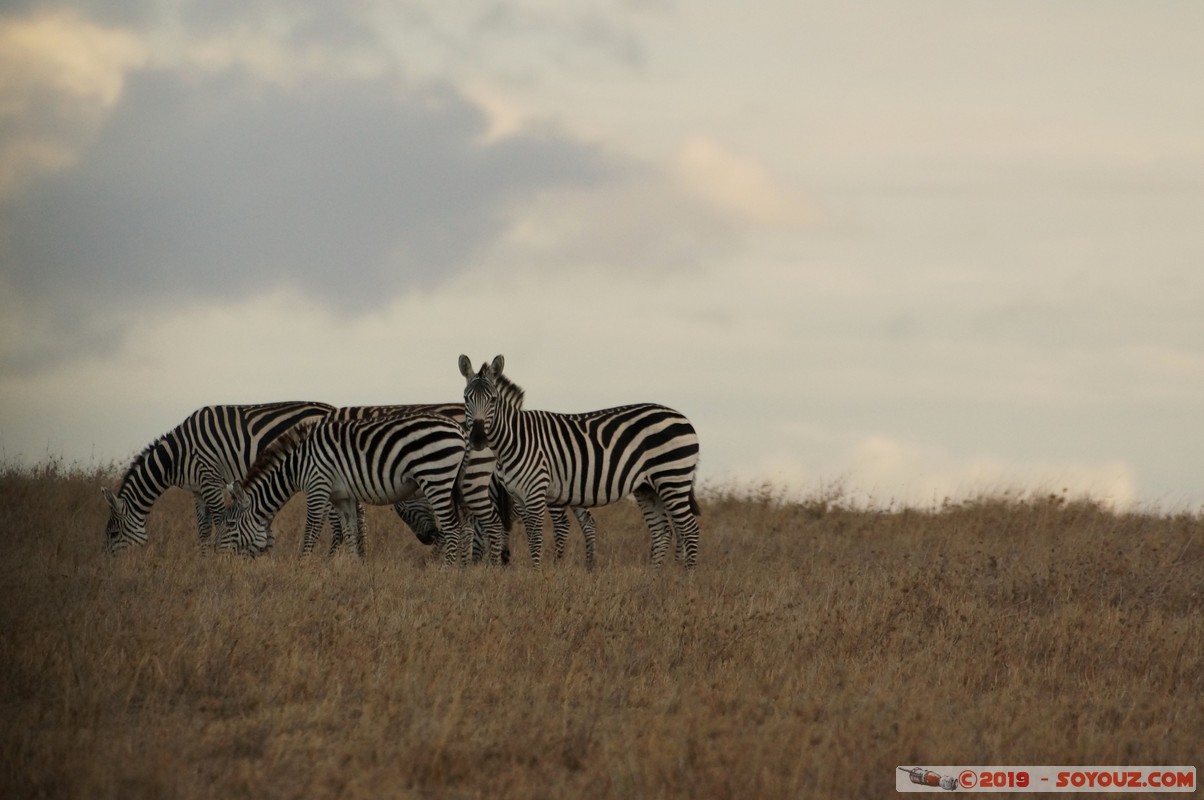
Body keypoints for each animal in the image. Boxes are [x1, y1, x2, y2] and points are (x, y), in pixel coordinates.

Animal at [99, 400, 332, 556]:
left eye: (113, 534)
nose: (107, 565)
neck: (177, 456)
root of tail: (330, 408)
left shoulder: (210, 478)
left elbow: (219, 519)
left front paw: (218, 556)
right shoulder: (197, 489)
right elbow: (203, 528)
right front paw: (204, 560)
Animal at [226, 409, 474, 566]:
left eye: (229, 524)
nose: (223, 561)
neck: (297, 464)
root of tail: (460, 430)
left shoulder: (318, 487)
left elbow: (311, 529)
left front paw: (301, 566)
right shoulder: (341, 497)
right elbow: (350, 530)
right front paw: (355, 566)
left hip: (436, 476)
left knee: (452, 527)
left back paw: (446, 570)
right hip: (454, 483)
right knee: (466, 525)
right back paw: (463, 569)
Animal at [459, 354, 703, 568]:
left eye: (493, 399)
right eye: (466, 398)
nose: (478, 438)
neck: (515, 439)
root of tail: (683, 417)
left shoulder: (536, 490)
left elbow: (536, 536)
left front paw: (536, 574)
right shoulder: (517, 495)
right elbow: (529, 533)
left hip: (671, 478)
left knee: (690, 529)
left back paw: (686, 577)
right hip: (648, 487)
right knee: (662, 532)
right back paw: (653, 579)